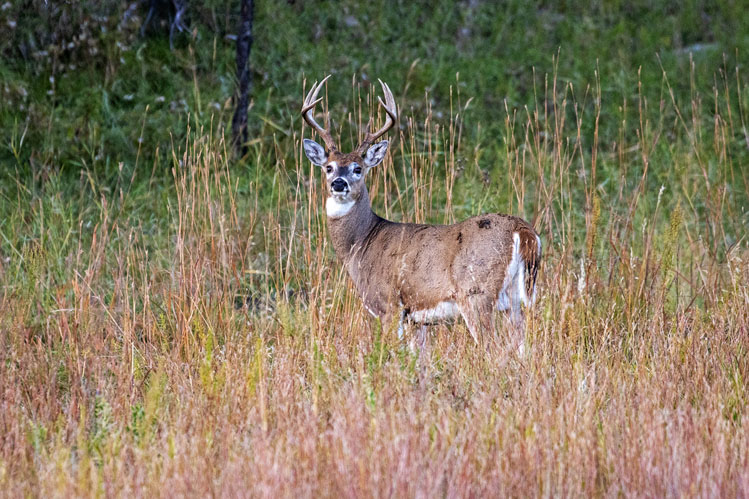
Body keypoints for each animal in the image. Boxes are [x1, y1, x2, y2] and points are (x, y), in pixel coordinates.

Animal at [300, 76, 540, 348]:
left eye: (358, 168)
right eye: (328, 167)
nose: (339, 184)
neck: (362, 242)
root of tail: (522, 230)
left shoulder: (389, 304)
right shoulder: (416, 319)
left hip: (476, 293)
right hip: (516, 300)